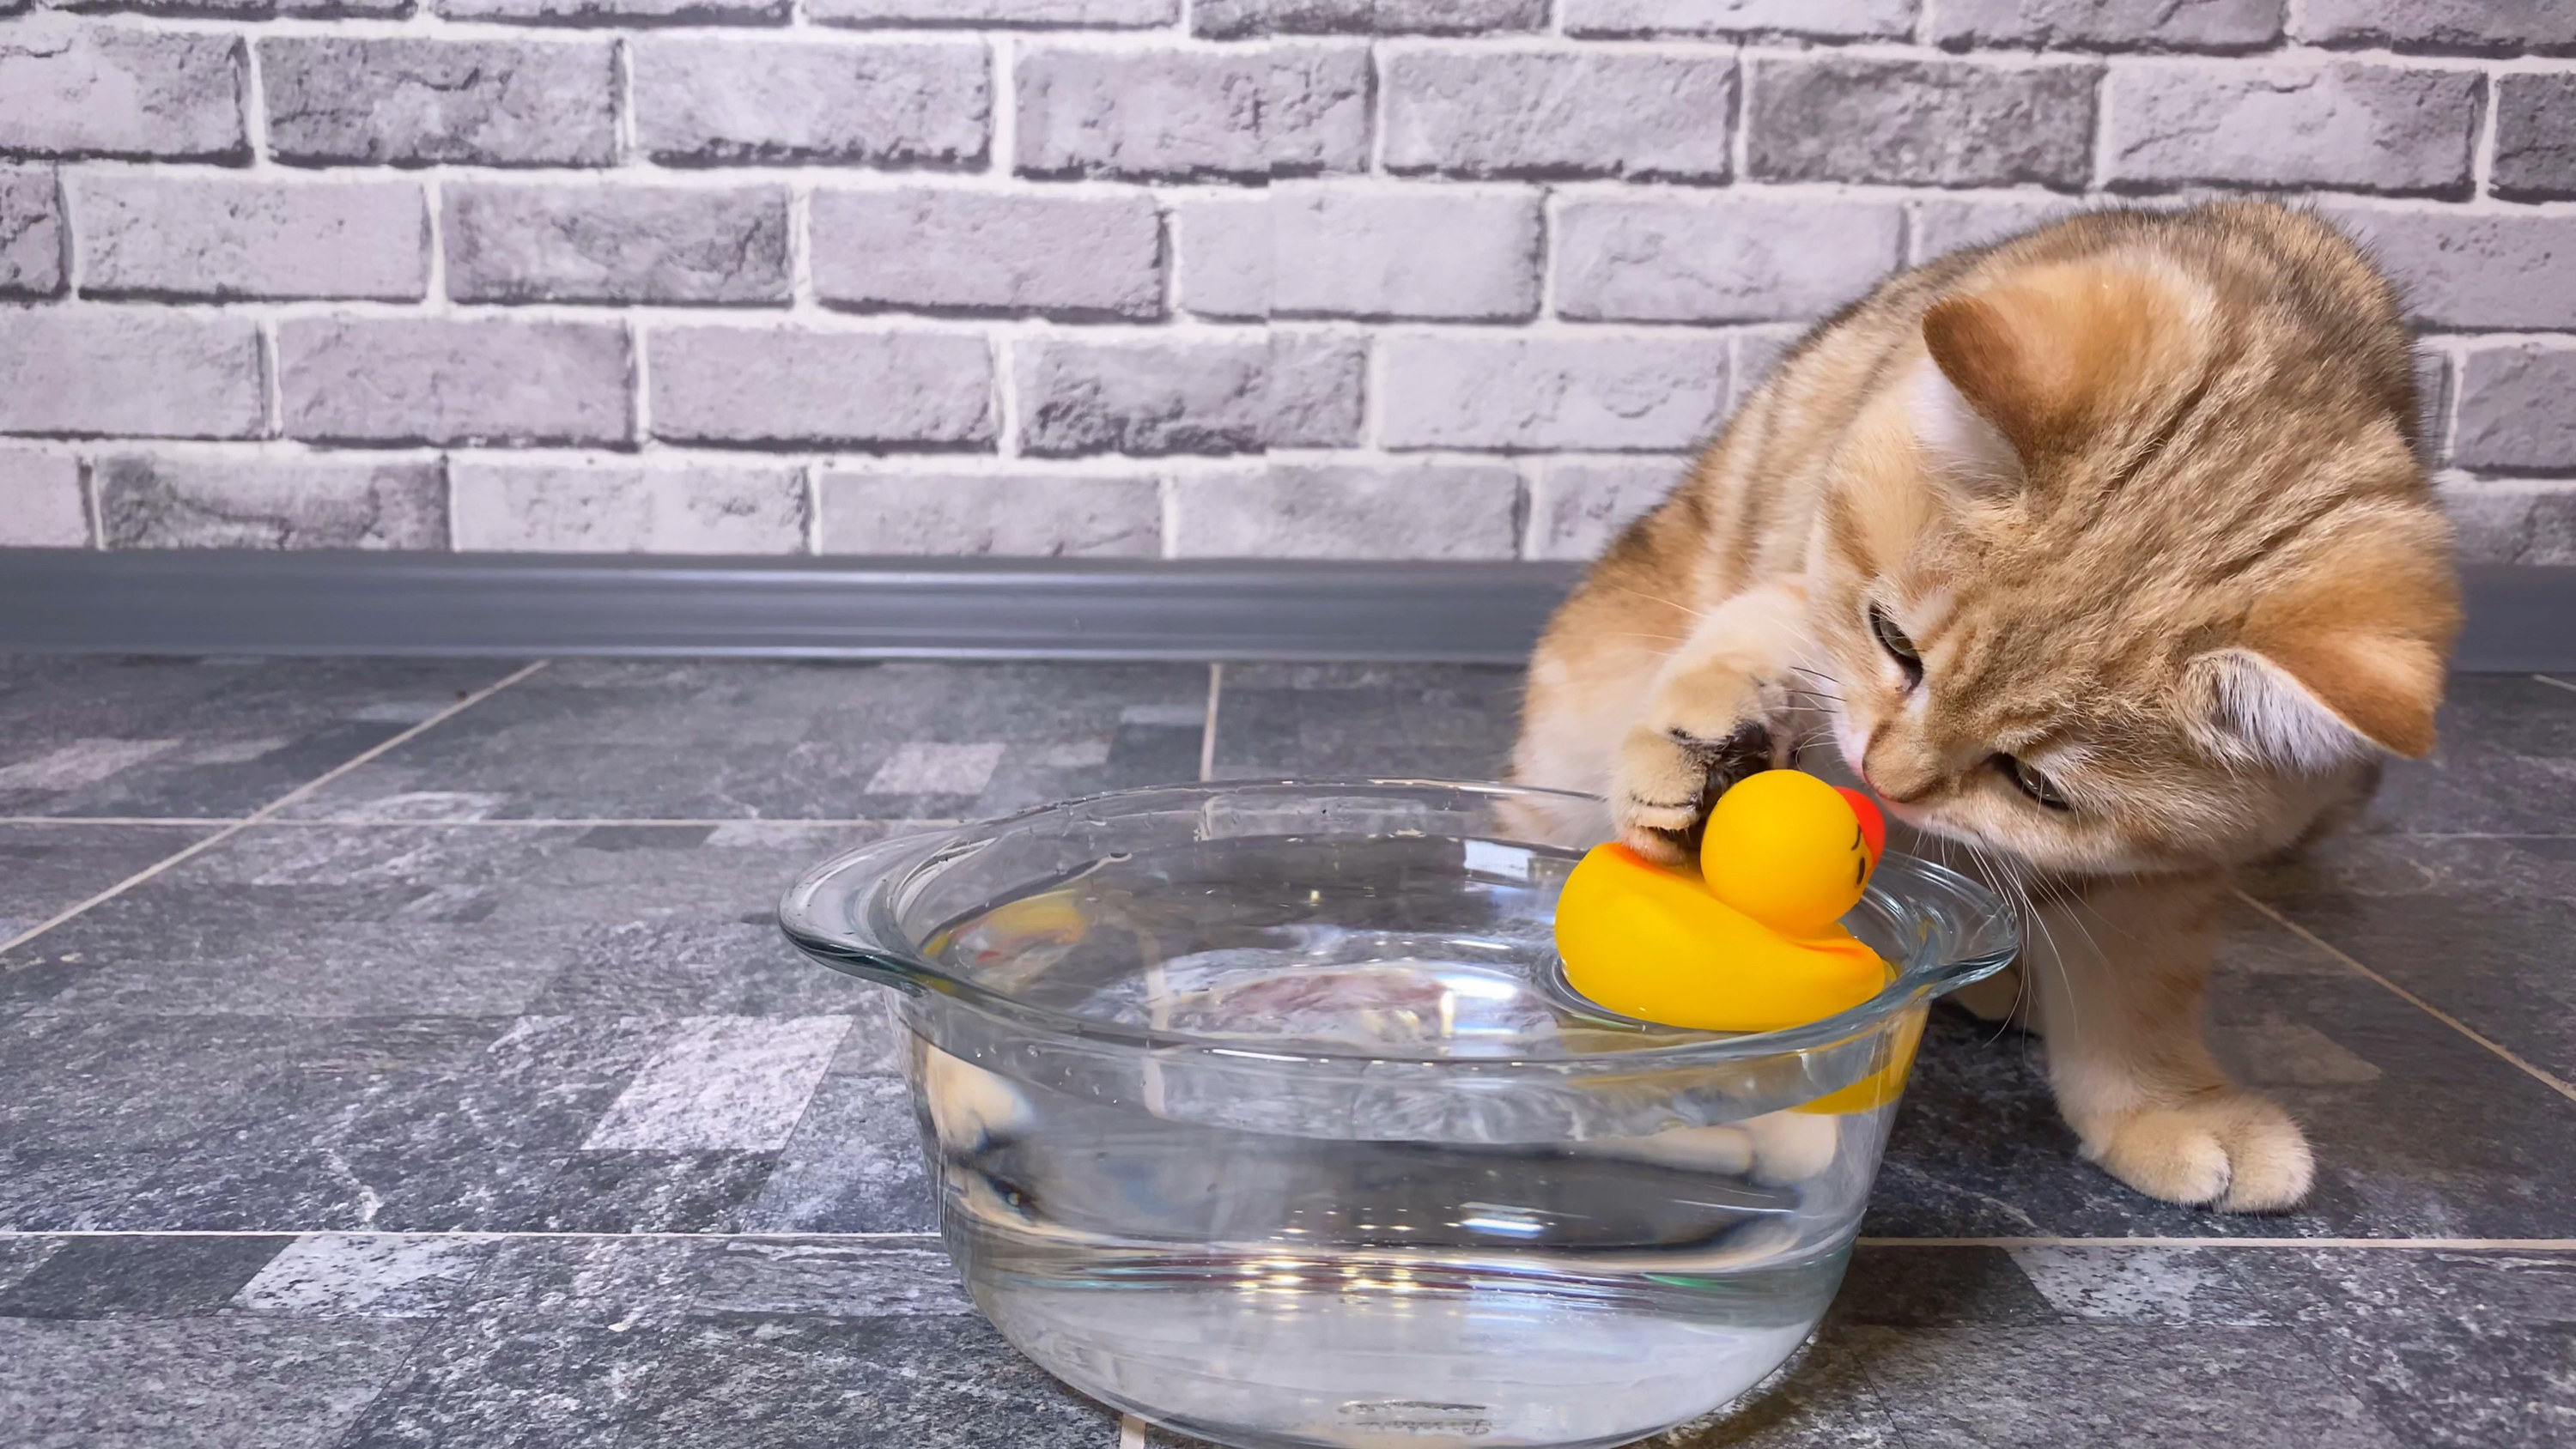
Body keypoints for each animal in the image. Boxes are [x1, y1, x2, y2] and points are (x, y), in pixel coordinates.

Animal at [1515, 197, 2463, 1210]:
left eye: (2035, 785)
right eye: (1893, 639)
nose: (1884, 779)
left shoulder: (2165, 868)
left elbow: (2143, 979)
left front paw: (2169, 1104)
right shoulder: (1809, 593)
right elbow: (1760, 631)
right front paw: (1700, 752)